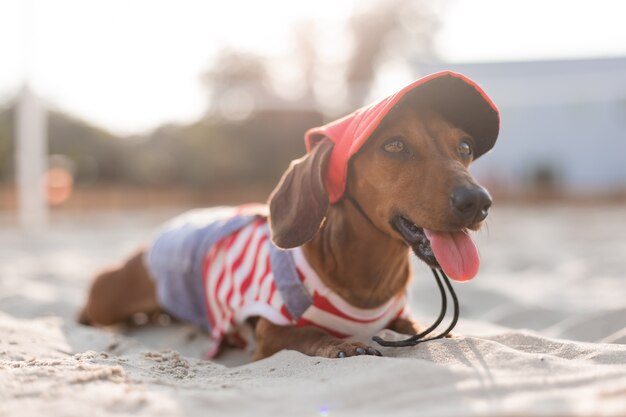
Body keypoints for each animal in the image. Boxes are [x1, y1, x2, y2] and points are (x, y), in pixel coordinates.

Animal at [79, 70, 498, 358]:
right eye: (394, 145)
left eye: (465, 146)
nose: (478, 201)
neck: (366, 278)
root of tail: (165, 230)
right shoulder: (269, 331)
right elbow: (309, 333)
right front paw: (344, 344)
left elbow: (411, 323)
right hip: (107, 298)